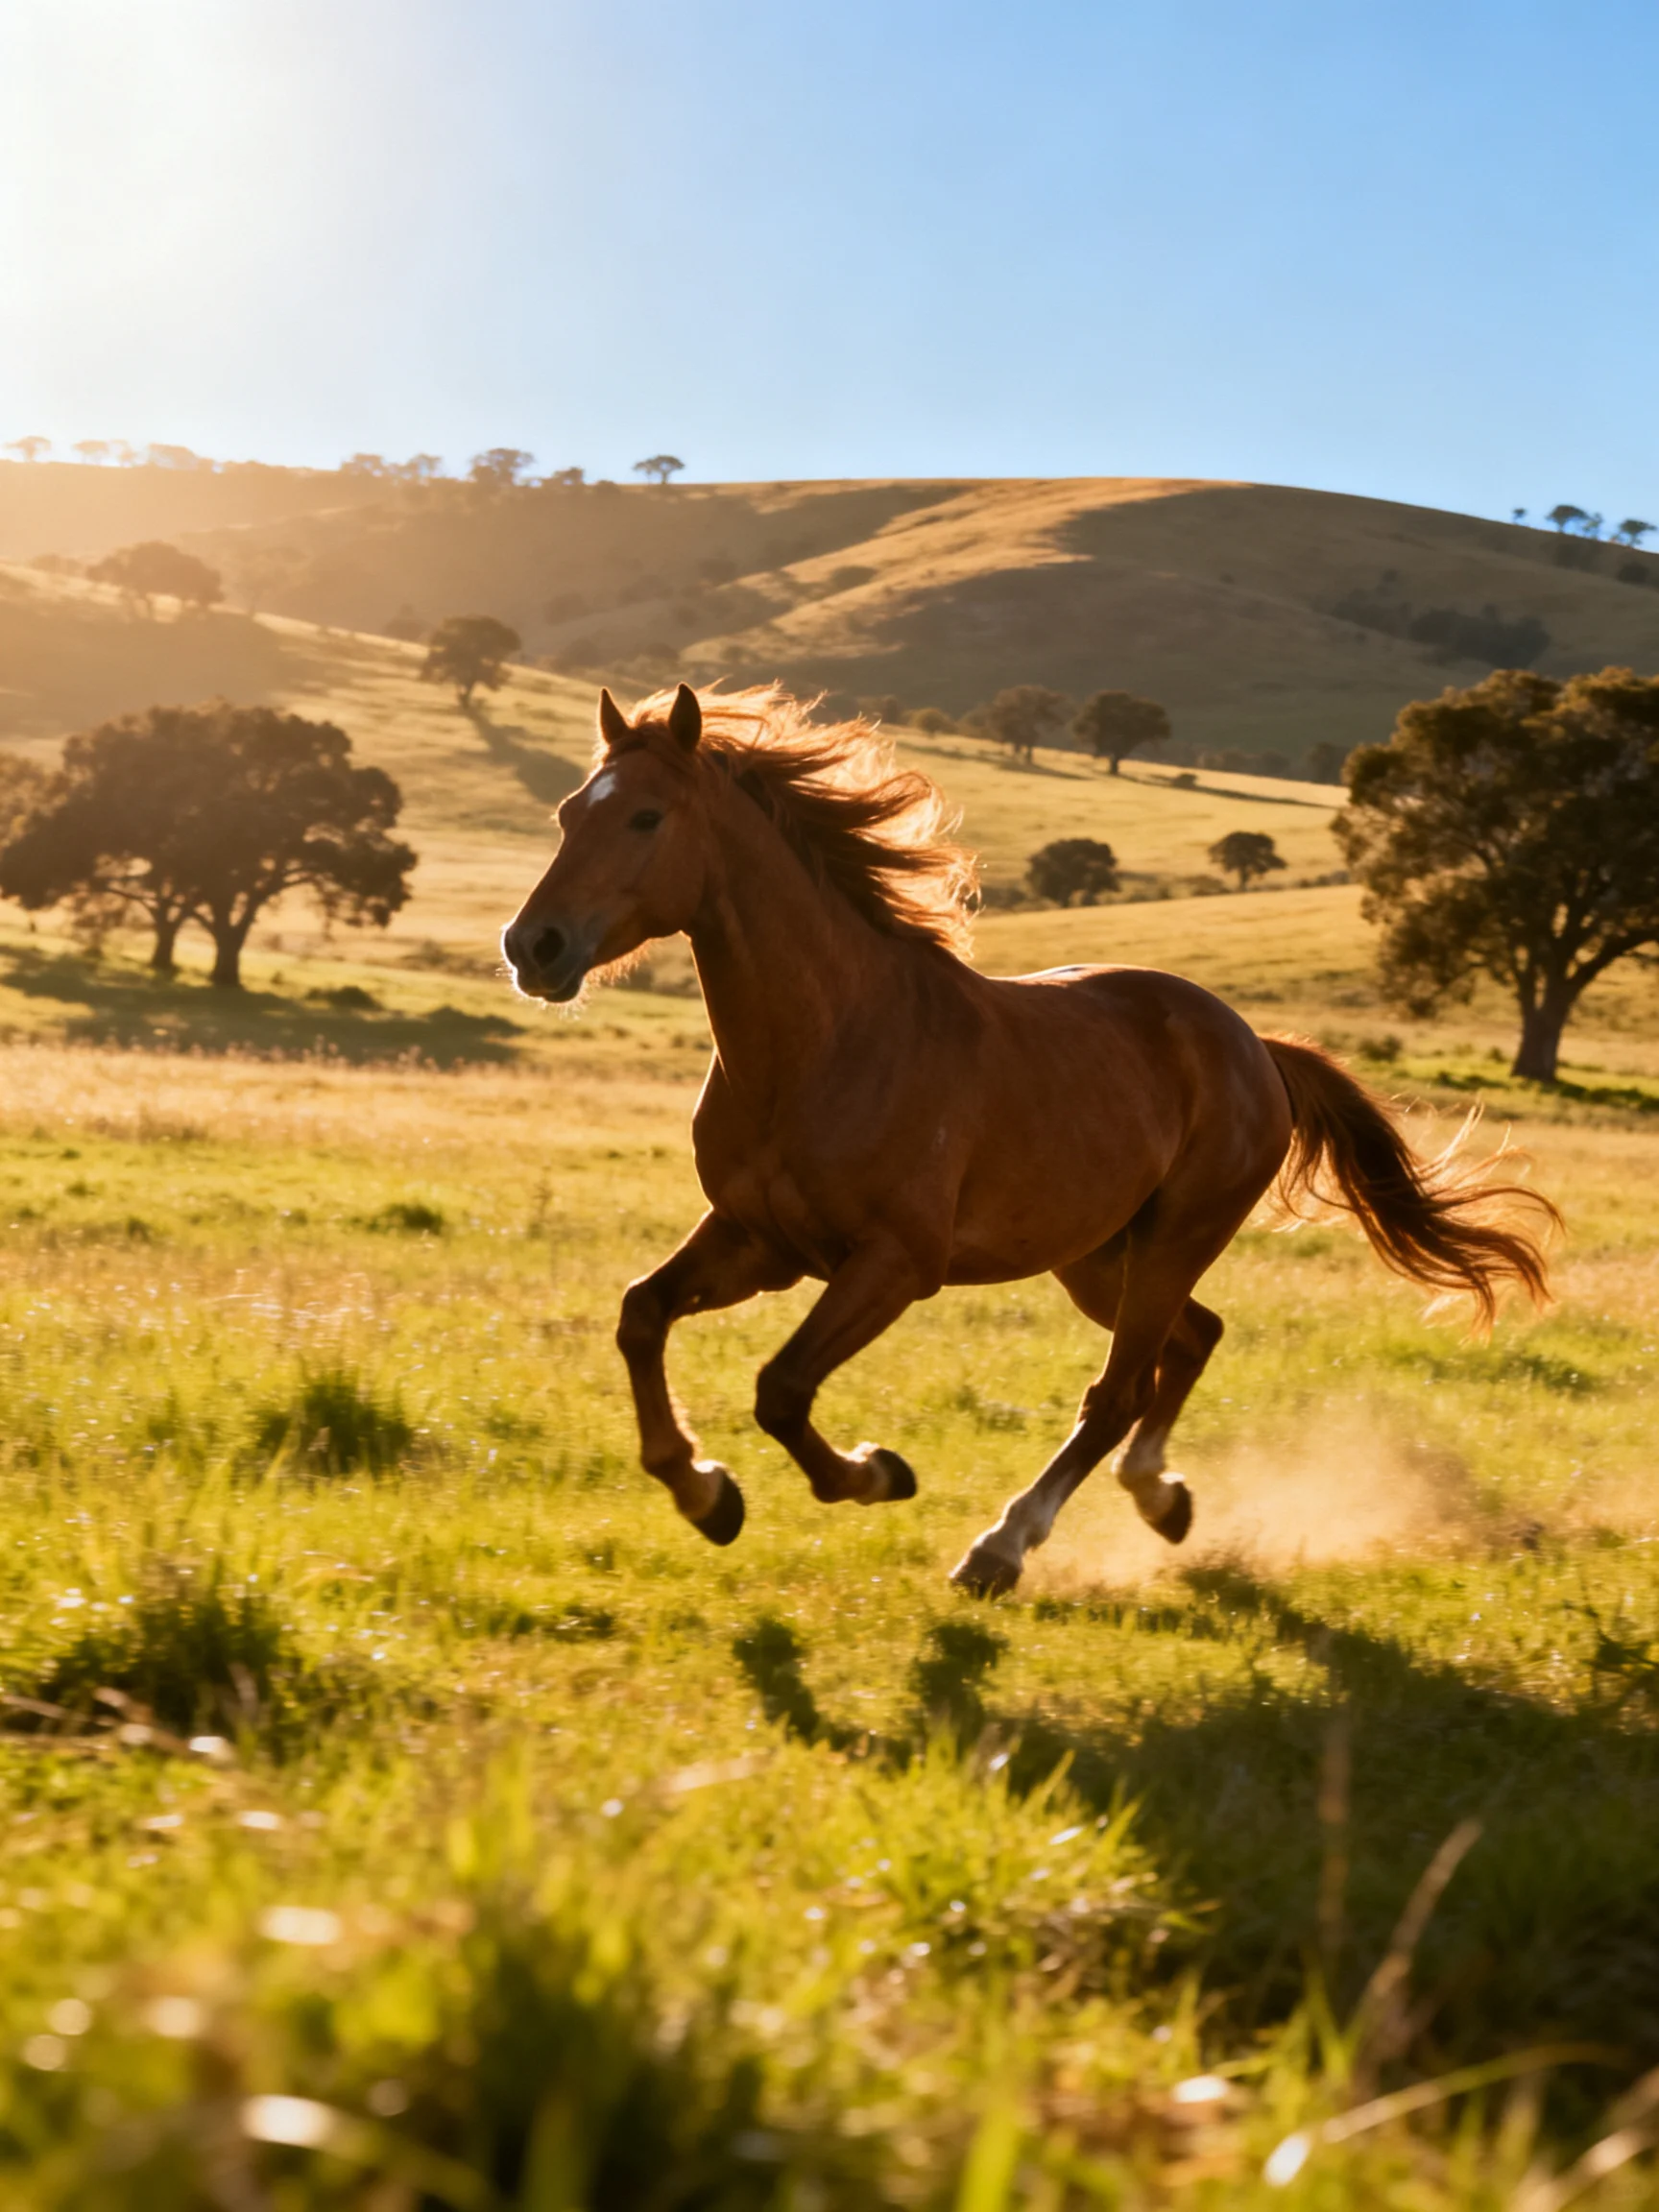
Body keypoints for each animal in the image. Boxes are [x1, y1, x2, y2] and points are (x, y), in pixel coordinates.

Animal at [502, 683, 1555, 1598]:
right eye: (568, 813)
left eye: (646, 819)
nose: (532, 947)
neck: (829, 1042)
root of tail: (1257, 1047)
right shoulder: (758, 1240)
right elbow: (642, 1315)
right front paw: (706, 1494)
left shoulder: (892, 1263)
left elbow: (782, 1387)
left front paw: (873, 1474)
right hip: (1096, 1257)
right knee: (1191, 1343)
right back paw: (1160, 1499)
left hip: (1171, 1241)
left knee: (1118, 1390)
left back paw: (1001, 1548)